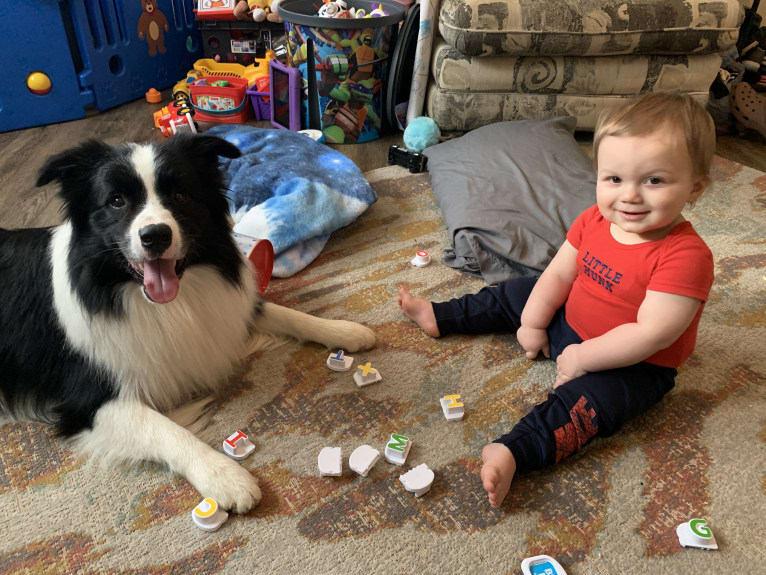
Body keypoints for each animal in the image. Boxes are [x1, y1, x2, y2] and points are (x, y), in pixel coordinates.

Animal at [0, 135, 378, 512]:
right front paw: (225, 476)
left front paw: (344, 330)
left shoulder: (228, 304)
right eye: (116, 201)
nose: (155, 236)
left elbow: (281, 312)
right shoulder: (91, 401)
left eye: (180, 194)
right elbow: (165, 430)